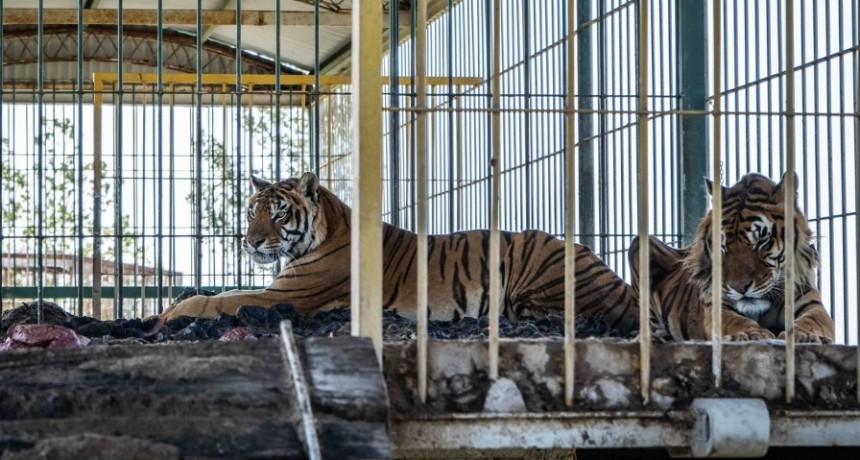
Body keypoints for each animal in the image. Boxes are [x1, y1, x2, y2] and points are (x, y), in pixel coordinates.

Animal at [151, 171, 639, 334]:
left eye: (277, 213)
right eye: (252, 211)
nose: (250, 240)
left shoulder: (284, 296)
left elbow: (218, 300)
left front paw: (168, 313)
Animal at [629, 172, 834, 343]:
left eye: (762, 240)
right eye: (723, 245)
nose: (740, 287)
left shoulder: (811, 302)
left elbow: (812, 320)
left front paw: (805, 335)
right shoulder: (717, 306)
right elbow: (736, 321)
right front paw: (751, 333)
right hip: (640, 243)